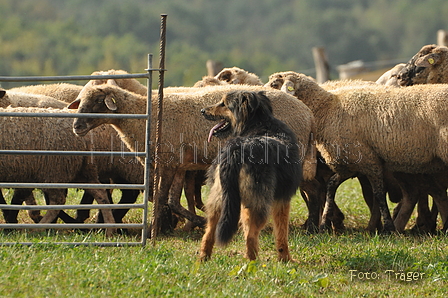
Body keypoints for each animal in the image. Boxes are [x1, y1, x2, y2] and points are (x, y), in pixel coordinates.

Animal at [0, 106, 117, 235]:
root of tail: (84, 139)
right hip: (81, 171)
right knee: (100, 193)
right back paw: (109, 229)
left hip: (55, 170)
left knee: (58, 201)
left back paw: (38, 228)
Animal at [68, 84, 316, 235]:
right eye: (80, 101)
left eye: (98, 101)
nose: (76, 127)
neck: (141, 117)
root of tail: (308, 113)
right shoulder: (179, 165)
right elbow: (172, 201)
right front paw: (196, 222)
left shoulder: (167, 162)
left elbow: (160, 197)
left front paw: (155, 230)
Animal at [199, 90, 300, 260]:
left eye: (223, 104)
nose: (202, 111)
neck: (260, 123)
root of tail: (237, 149)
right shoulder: (282, 200)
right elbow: (282, 233)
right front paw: (285, 259)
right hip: (258, 203)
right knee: (251, 235)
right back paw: (252, 261)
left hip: (221, 198)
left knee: (210, 230)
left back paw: (203, 258)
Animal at [266, 70, 448, 233]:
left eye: (275, 84)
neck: (327, 107)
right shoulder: (349, 163)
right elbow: (331, 187)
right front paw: (325, 224)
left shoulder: (369, 161)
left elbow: (378, 194)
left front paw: (388, 228)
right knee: (430, 192)